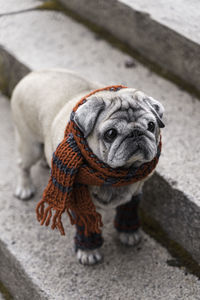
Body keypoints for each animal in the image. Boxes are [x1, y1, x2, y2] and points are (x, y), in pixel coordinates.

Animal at [10, 68, 164, 264]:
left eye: (151, 126)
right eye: (110, 134)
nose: (136, 133)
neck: (116, 176)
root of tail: (33, 74)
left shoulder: (135, 192)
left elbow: (128, 209)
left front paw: (128, 233)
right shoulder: (80, 203)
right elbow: (87, 223)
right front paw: (88, 251)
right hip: (30, 147)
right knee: (22, 165)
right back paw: (24, 187)